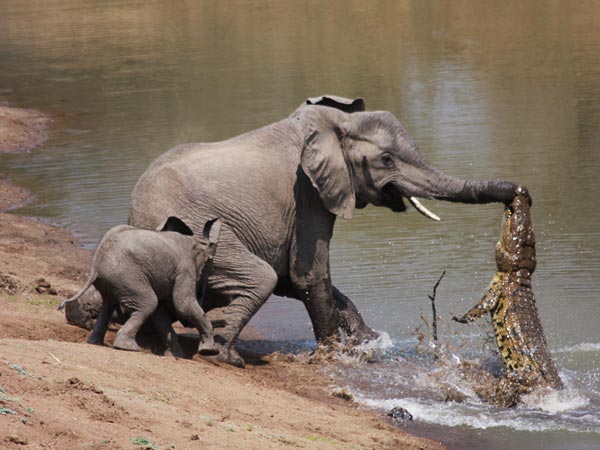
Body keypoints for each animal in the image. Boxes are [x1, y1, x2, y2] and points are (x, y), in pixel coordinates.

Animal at [58, 216, 221, 356]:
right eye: (209, 267)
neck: (196, 240)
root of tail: (95, 265)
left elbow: (160, 313)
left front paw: (176, 356)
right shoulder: (185, 269)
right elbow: (183, 304)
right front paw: (210, 351)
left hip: (114, 280)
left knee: (109, 305)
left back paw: (95, 342)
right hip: (128, 277)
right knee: (148, 303)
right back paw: (128, 348)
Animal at [129, 95, 516, 366]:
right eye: (386, 160)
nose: (518, 192)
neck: (333, 124)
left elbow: (296, 279)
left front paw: (369, 343)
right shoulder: (308, 194)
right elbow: (307, 274)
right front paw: (334, 356)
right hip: (196, 232)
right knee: (261, 277)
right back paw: (226, 356)